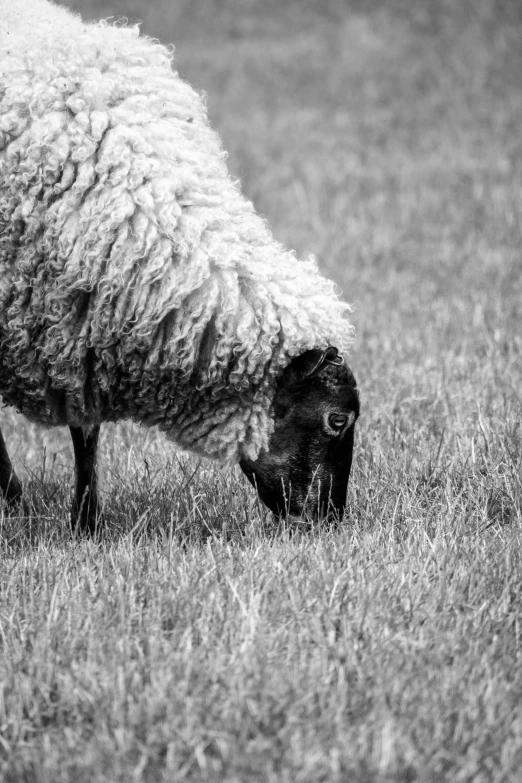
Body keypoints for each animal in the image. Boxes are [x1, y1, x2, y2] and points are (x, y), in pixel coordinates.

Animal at [0, 0, 358, 532]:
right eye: (337, 419)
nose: (331, 522)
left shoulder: (77, 325)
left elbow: (86, 432)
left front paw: (86, 521)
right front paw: (16, 500)